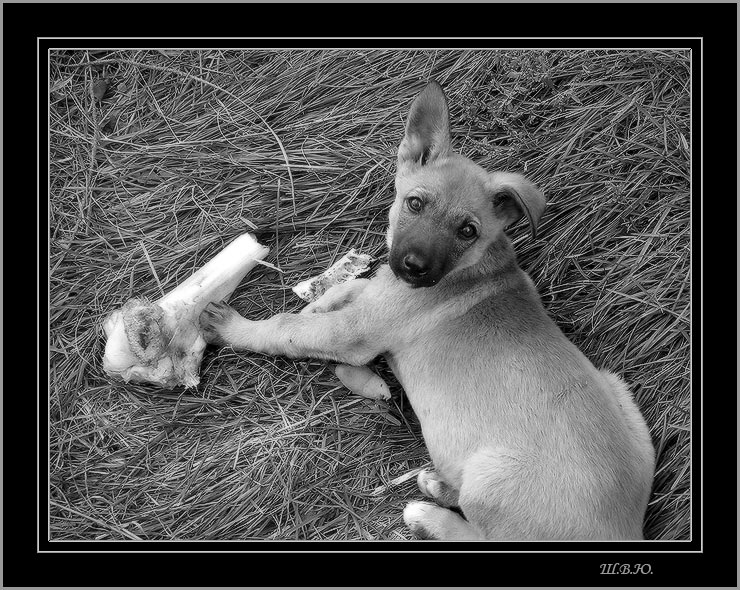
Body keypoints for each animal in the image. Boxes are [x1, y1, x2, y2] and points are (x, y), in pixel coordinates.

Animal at [201, 81, 652, 544]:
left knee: (481, 536)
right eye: (415, 204)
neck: (472, 266)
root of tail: (626, 531)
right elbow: (349, 290)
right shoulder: (375, 299)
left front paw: (235, 327)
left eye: (467, 231)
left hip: (491, 480)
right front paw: (322, 301)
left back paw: (428, 516)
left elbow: (285, 327)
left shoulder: (353, 332)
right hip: (617, 388)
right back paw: (438, 483)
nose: (414, 267)